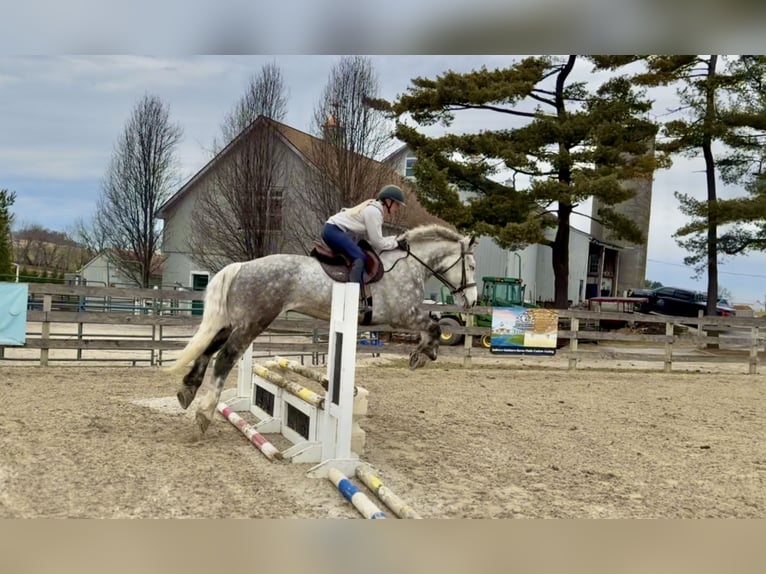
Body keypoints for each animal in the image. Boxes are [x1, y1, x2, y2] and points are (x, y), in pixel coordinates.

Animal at [166, 224, 479, 434]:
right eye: (473, 265)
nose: (473, 301)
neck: (408, 266)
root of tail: (242, 266)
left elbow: (431, 325)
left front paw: (422, 354)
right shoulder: (403, 315)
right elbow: (434, 326)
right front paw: (423, 355)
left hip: (235, 320)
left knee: (210, 348)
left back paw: (187, 391)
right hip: (255, 321)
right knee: (226, 356)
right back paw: (204, 414)